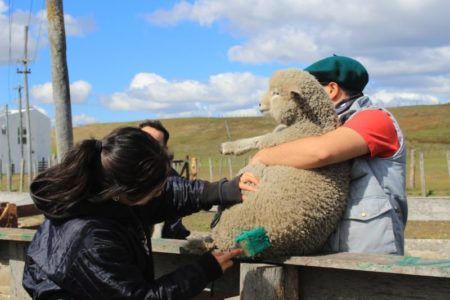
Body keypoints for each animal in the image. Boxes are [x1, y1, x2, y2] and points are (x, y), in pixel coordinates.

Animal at [211, 69, 352, 256]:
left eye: (276, 93)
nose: (259, 104)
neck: (312, 124)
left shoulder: (280, 140)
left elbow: (260, 140)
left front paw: (229, 147)